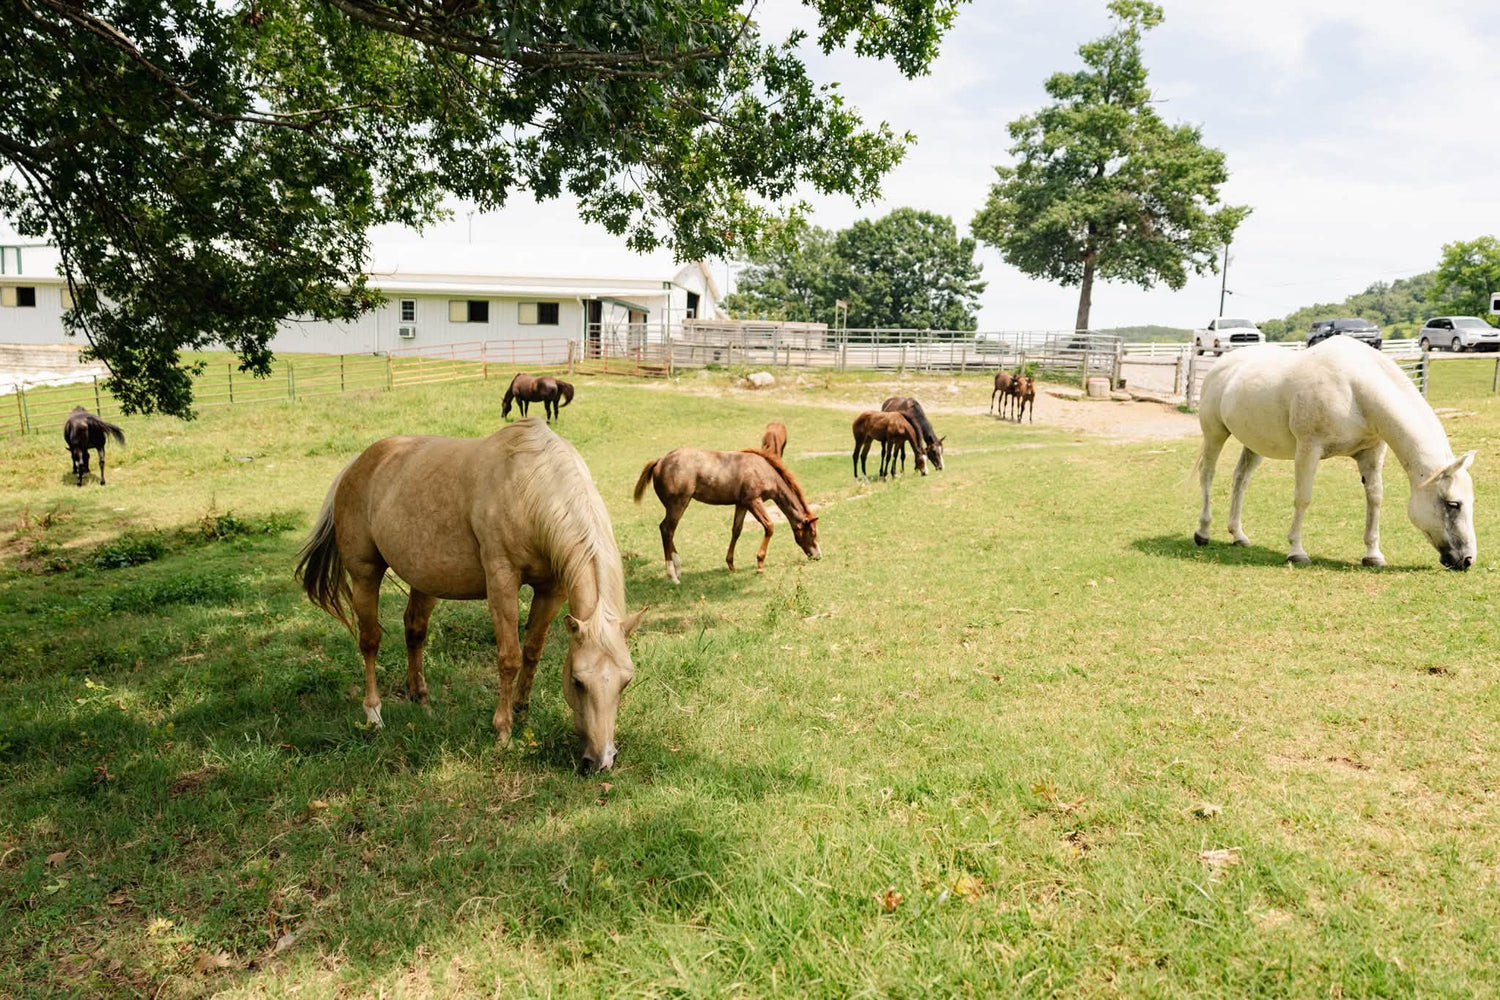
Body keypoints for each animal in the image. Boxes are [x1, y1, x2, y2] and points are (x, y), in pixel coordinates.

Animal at [295, 418, 645, 774]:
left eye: (626, 682)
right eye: (577, 681)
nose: (601, 760)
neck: (530, 485)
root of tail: (357, 464)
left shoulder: (552, 590)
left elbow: (532, 651)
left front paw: (523, 711)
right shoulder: (502, 580)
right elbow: (509, 657)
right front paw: (503, 733)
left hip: (425, 578)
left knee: (414, 630)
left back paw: (422, 702)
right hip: (365, 575)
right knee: (369, 642)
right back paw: (374, 715)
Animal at [633, 447, 820, 583]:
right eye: (812, 532)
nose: (818, 555)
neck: (763, 470)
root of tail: (660, 461)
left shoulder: (742, 504)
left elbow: (736, 530)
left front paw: (731, 564)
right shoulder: (754, 501)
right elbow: (769, 526)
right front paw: (760, 564)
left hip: (677, 505)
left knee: (667, 530)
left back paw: (678, 569)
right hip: (678, 504)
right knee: (667, 529)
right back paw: (672, 575)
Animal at [1194, 337, 1477, 569]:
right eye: (1453, 504)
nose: (1467, 560)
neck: (1355, 391)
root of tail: (1221, 364)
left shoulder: (1371, 453)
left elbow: (1375, 499)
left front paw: (1373, 555)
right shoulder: (1308, 449)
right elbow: (1303, 499)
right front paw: (1296, 551)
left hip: (1255, 445)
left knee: (1240, 480)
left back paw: (1238, 535)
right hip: (1214, 434)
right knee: (1207, 475)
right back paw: (1203, 532)